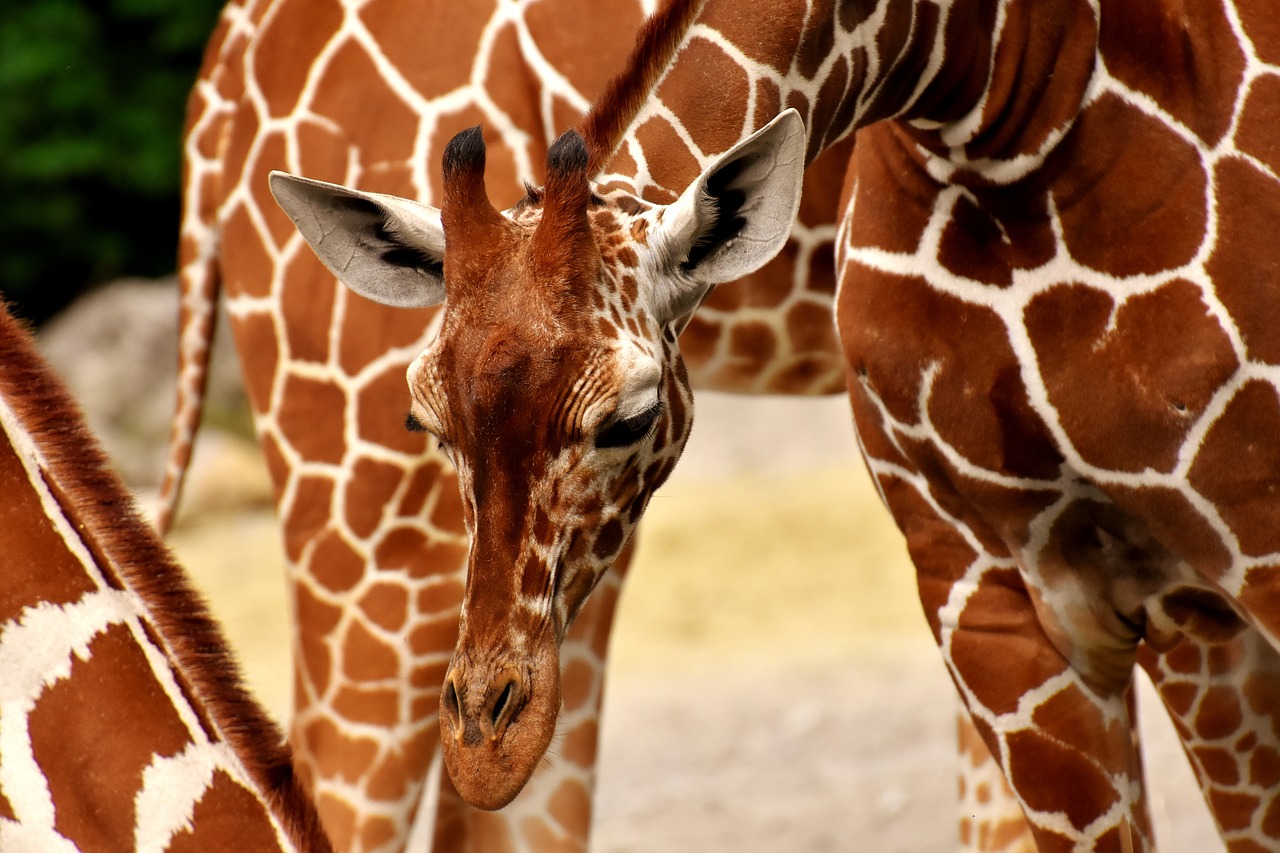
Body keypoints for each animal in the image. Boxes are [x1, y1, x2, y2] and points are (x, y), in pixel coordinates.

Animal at [275, 0, 1280, 845]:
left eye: (630, 418)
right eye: (426, 419)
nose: (487, 745)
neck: (995, 91)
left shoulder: (1220, 579)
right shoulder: (986, 592)